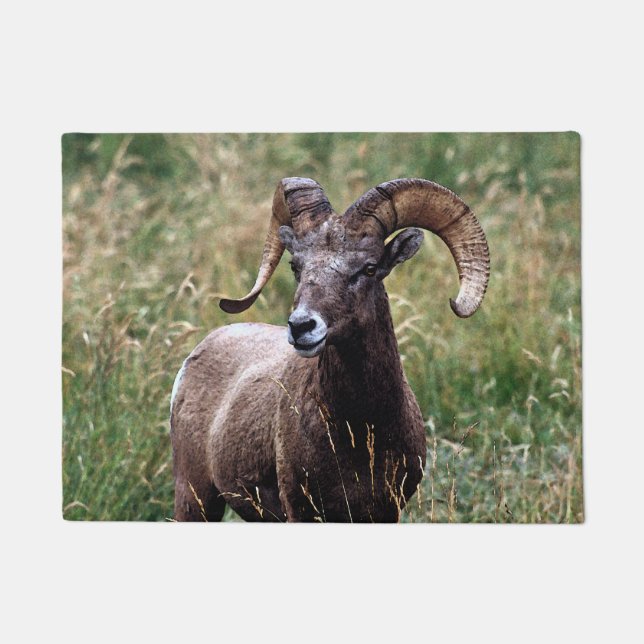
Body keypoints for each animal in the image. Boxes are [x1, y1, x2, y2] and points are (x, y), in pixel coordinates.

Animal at [170, 177, 490, 522]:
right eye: (296, 266)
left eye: (369, 268)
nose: (301, 327)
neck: (360, 435)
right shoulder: (301, 511)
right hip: (195, 498)